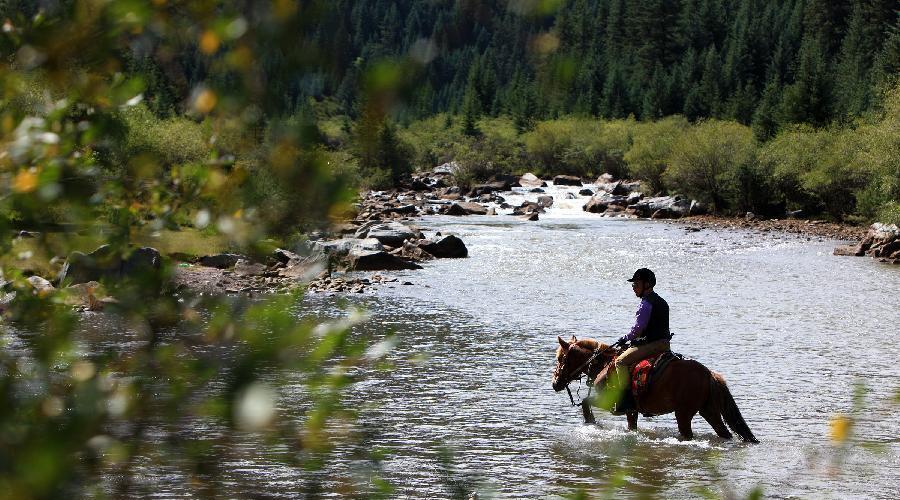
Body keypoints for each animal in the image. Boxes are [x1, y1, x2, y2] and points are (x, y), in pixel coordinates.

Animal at [552, 336, 756, 442]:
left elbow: (586, 403)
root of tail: (708, 373)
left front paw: (591, 423)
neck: (604, 364)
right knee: (724, 433)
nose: (555, 383)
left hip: (684, 414)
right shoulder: (631, 411)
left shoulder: (610, 402)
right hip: (709, 411)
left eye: (561, 358)